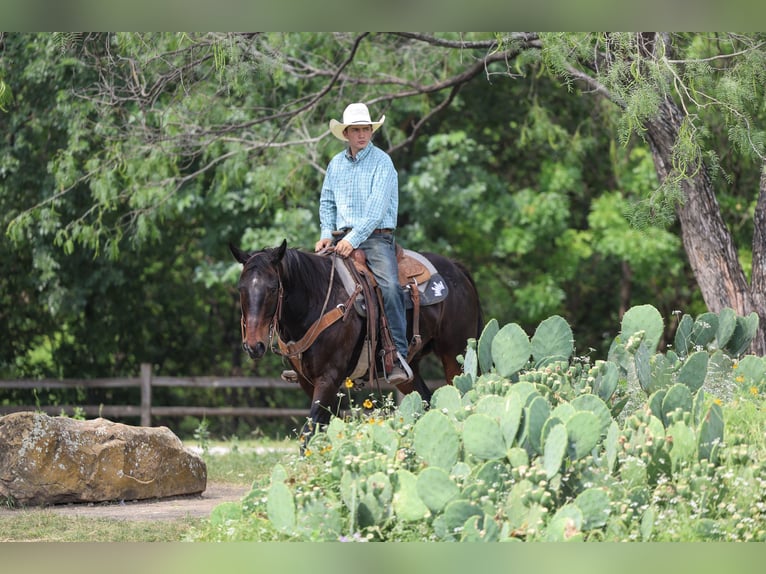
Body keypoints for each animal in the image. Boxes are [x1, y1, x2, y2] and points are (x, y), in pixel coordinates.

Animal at [230, 239, 483, 439]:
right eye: (241, 288)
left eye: (273, 288)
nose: (254, 345)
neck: (318, 300)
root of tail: (456, 269)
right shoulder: (307, 380)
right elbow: (325, 426)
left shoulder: (329, 377)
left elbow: (311, 428)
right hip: (410, 369)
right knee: (426, 402)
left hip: (456, 355)